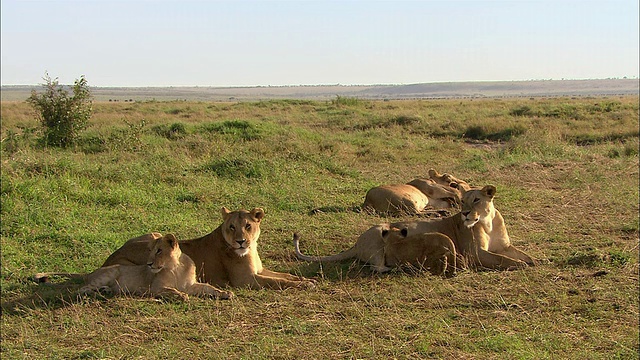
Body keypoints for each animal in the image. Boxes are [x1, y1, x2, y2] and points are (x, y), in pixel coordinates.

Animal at [100, 205, 316, 290]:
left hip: (154, 234)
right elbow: (278, 282)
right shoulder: (246, 280)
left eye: (248, 226)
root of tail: (108, 259)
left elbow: (285, 276)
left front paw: (306, 279)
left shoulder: (259, 270)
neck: (251, 250)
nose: (241, 241)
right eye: (232, 227)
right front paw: (304, 284)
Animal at [296, 184, 536, 272]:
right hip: (377, 237)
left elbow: (522, 254)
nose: (465, 213)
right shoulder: (474, 253)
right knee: (378, 267)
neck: (487, 222)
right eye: (462, 202)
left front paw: (536, 260)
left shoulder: (504, 246)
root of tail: (355, 243)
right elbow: (502, 260)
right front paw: (520, 265)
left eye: (476, 200)